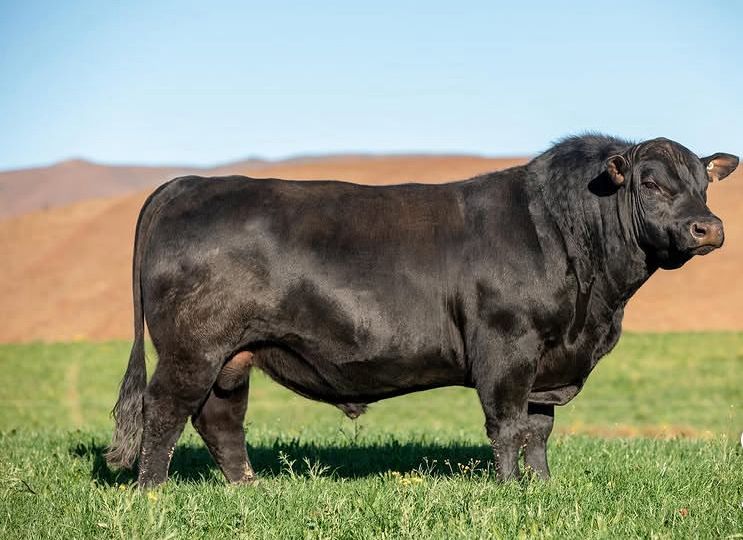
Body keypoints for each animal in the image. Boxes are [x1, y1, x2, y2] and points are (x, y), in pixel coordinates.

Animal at [105, 135, 738, 487]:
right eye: (651, 183)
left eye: (703, 184)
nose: (708, 227)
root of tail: (189, 183)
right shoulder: (506, 348)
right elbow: (507, 426)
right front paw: (509, 493)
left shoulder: (549, 361)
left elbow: (538, 431)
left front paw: (541, 489)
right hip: (193, 349)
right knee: (164, 412)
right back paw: (152, 492)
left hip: (233, 358)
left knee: (219, 420)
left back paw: (249, 489)